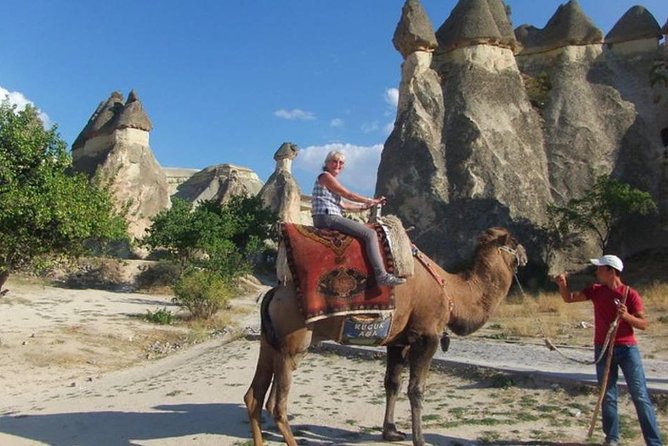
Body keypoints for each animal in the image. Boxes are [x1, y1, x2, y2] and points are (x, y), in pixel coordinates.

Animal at [244, 226, 527, 446]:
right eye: (513, 242)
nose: (525, 255)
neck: (453, 292)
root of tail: (273, 293)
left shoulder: (398, 340)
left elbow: (392, 383)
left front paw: (391, 432)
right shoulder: (426, 336)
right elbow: (416, 389)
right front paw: (420, 439)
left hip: (269, 342)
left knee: (254, 396)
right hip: (293, 345)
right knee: (276, 405)